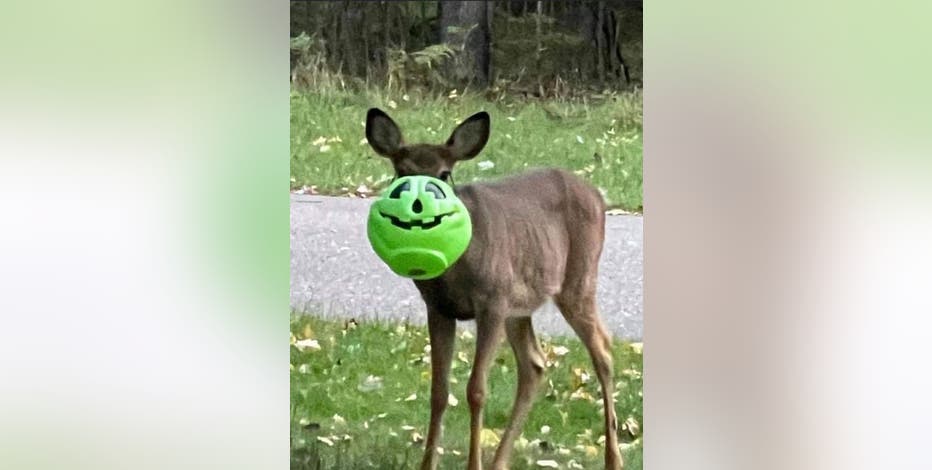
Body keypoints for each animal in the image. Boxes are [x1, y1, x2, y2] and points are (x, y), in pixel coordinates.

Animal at [365, 108, 623, 470]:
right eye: (400, 172)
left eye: (444, 173)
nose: (418, 205)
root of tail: (599, 196)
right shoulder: (438, 308)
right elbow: (438, 391)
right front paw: (427, 465)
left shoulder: (492, 302)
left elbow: (476, 390)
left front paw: (473, 464)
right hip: (521, 300)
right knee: (534, 363)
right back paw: (500, 461)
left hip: (577, 279)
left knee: (602, 349)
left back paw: (613, 459)